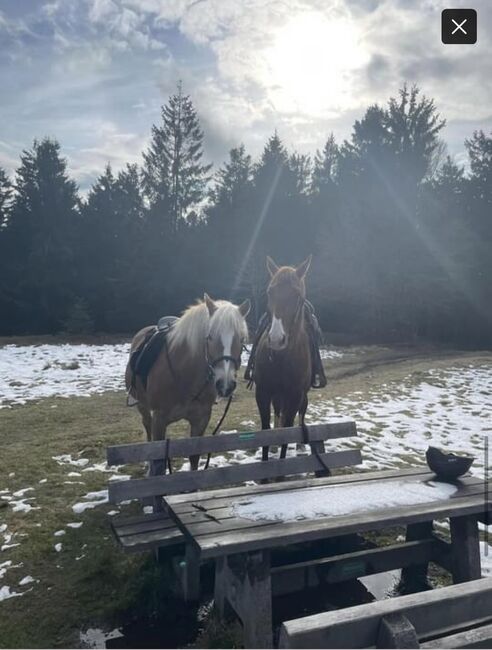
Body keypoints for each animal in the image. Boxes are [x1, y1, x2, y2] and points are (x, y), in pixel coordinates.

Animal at [127, 292, 250, 466]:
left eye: (241, 339)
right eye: (209, 337)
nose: (225, 385)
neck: (185, 376)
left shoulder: (201, 419)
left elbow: (194, 457)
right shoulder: (159, 420)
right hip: (142, 406)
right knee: (147, 425)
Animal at [254, 253, 312, 456]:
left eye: (297, 295)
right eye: (270, 292)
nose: (277, 339)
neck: (281, 359)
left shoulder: (295, 396)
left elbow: (288, 433)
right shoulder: (263, 393)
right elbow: (265, 431)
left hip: (301, 397)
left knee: (300, 415)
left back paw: (301, 445)